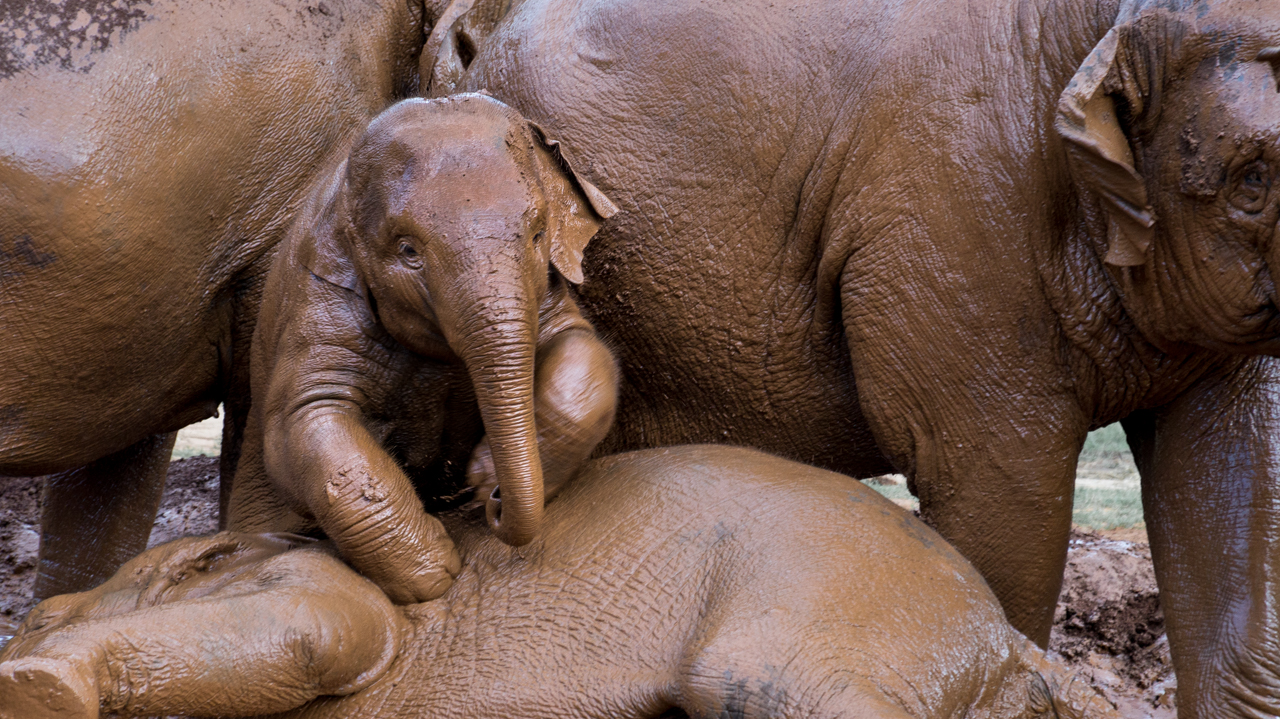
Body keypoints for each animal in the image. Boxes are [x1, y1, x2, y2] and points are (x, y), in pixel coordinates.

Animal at [231, 92, 624, 601]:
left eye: (538, 234)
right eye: (408, 251)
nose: (492, 505)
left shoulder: (549, 291)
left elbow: (582, 348)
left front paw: (482, 480)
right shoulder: (318, 295)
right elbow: (303, 422)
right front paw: (434, 573)